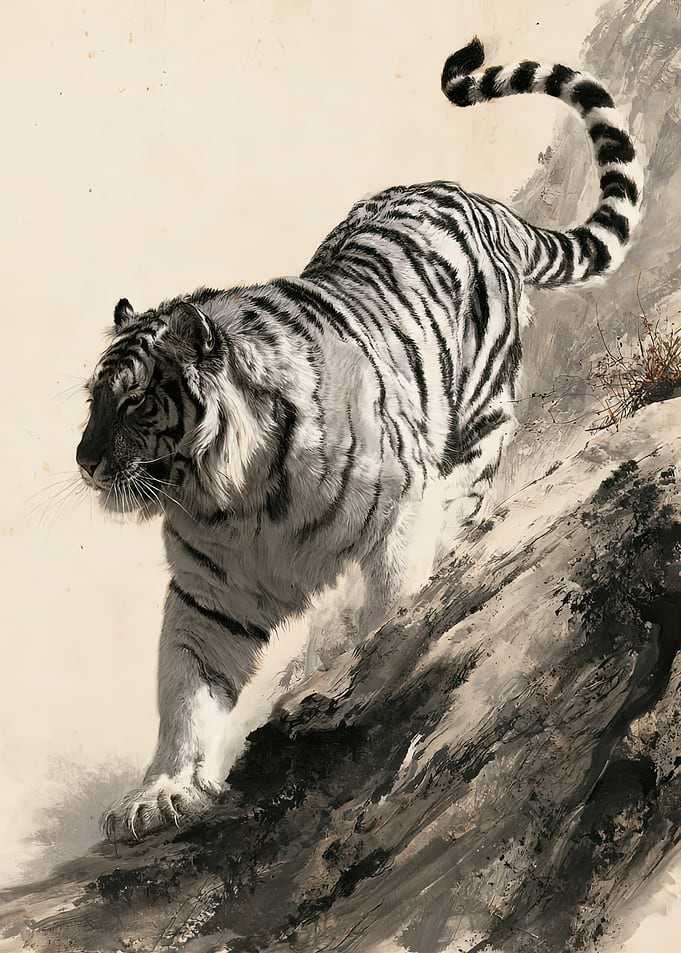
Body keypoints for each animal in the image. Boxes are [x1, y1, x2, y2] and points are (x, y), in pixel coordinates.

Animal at [76, 38, 643, 842]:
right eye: (91, 401)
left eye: (132, 402)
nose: (84, 460)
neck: (231, 494)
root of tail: (485, 204)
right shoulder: (206, 598)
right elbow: (184, 693)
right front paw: (158, 795)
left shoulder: (400, 507)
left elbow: (392, 609)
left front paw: (362, 685)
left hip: (476, 419)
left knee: (468, 491)